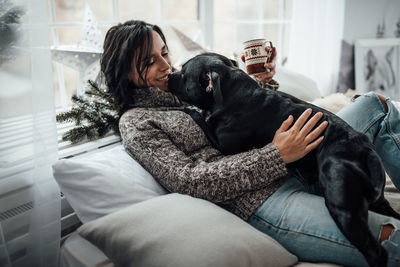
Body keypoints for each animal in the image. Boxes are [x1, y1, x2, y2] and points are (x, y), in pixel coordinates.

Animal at [169, 52, 400, 267]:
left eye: (183, 73)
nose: (170, 74)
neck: (234, 93)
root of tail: (365, 149)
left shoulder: (222, 144)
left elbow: (201, 119)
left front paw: (192, 110)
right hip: (371, 201)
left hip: (344, 208)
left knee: (375, 251)